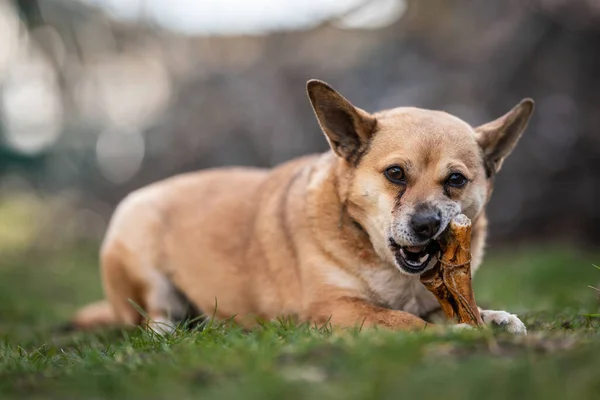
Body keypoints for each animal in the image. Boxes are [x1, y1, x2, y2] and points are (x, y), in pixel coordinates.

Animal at [72, 79, 532, 334]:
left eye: (455, 180)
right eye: (396, 174)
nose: (427, 225)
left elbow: (458, 310)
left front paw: (492, 319)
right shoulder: (331, 309)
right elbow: (405, 321)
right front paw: (456, 335)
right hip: (139, 245)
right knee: (153, 321)